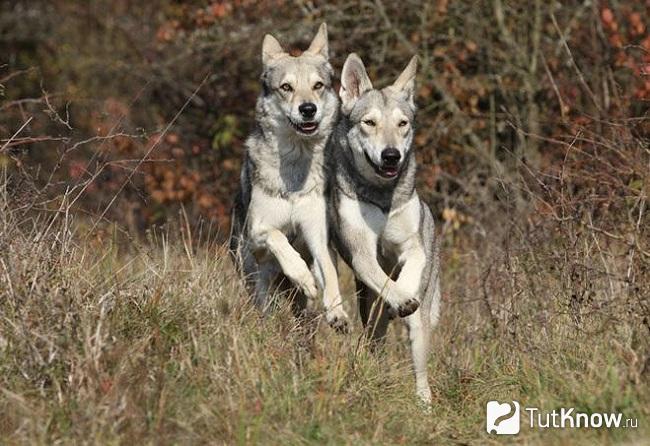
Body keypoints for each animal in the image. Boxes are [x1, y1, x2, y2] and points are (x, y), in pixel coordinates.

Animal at [229, 24, 350, 332]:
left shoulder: (318, 236)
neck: (296, 171)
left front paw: (337, 313)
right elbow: (279, 239)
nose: (308, 109)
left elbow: (329, 271)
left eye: (318, 86)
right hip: (255, 278)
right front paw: (302, 276)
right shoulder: (257, 233)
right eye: (286, 88)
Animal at [330, 53, 440, 404]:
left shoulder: (413, 247)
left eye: (402, 124)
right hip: (369, 317)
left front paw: (405, 295)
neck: (382, 195)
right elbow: (381, 277)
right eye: (370, 123)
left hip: (419, 329)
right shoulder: (361, 253)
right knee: (375, 343)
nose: (391, 155)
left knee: (421, 373)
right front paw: (399, 298)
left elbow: (407, 273)